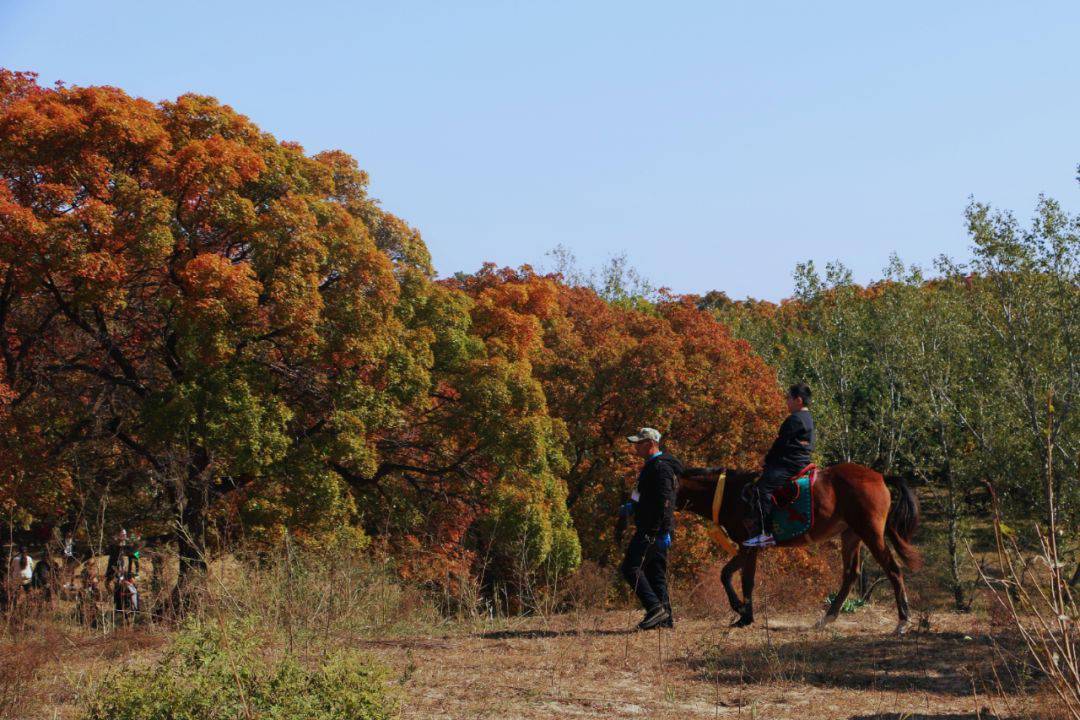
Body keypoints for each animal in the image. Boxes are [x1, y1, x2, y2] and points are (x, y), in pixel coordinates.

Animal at [673, 464, 920, 634]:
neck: (729, 495)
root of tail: (879, 476)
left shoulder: (748, 546)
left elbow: (734, 577)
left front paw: (743, 613)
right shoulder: (748, 548)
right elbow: (738, 578)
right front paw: (744, 615)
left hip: (870, 533)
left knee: (893, 570)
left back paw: (902, 621)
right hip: (851, 535)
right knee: (851, 574)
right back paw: (826, 618)